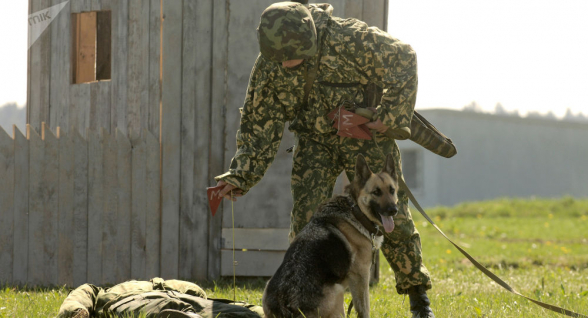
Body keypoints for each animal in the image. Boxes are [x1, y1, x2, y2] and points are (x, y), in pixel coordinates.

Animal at [266, 153, 400, 316]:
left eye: (392, 190)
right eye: (376, 192)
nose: (393, 210)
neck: (356, 210)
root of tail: (287, 307)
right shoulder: (361, 276)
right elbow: (364, 308)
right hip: (338, 292)